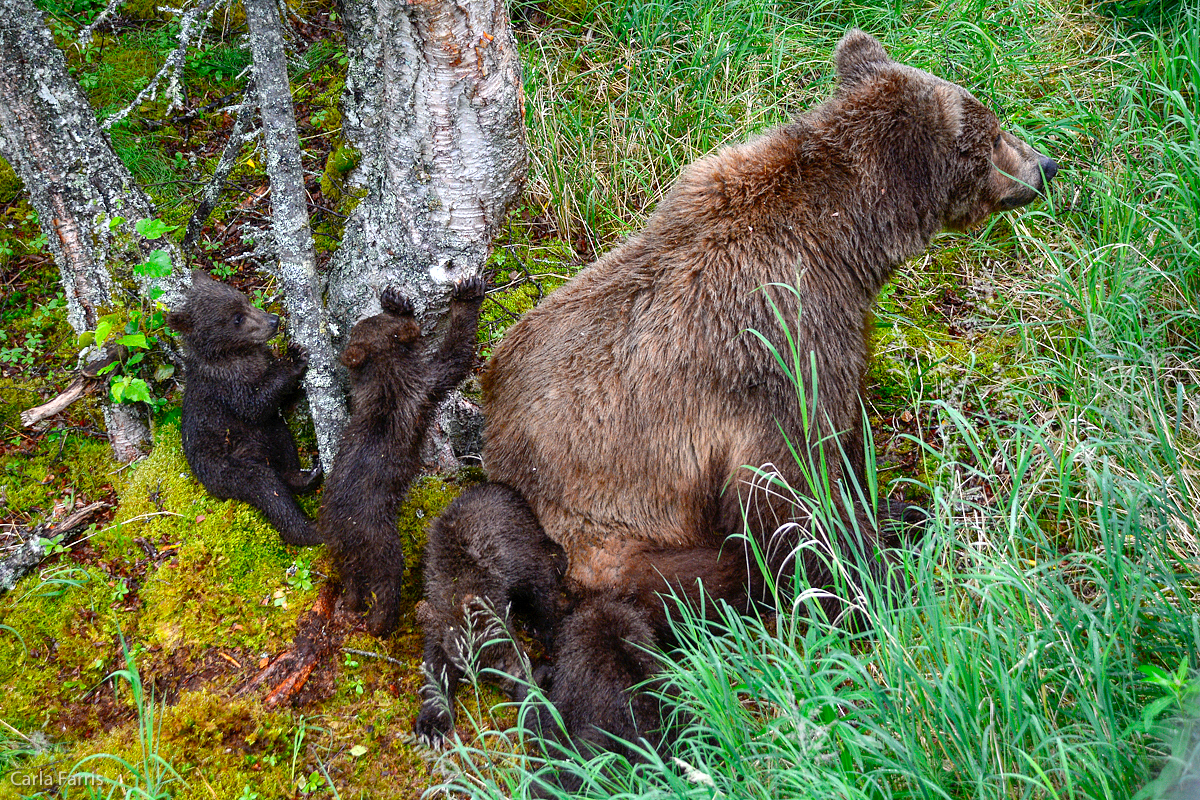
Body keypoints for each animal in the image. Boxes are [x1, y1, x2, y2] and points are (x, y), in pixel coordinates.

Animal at [477, 31, 1060, 606]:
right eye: (994, 136)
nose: (1046, 165)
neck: (845, 244)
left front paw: (891, 509)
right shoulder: (777, 343)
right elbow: (792, 485)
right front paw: (879, 577)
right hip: (615, 535)